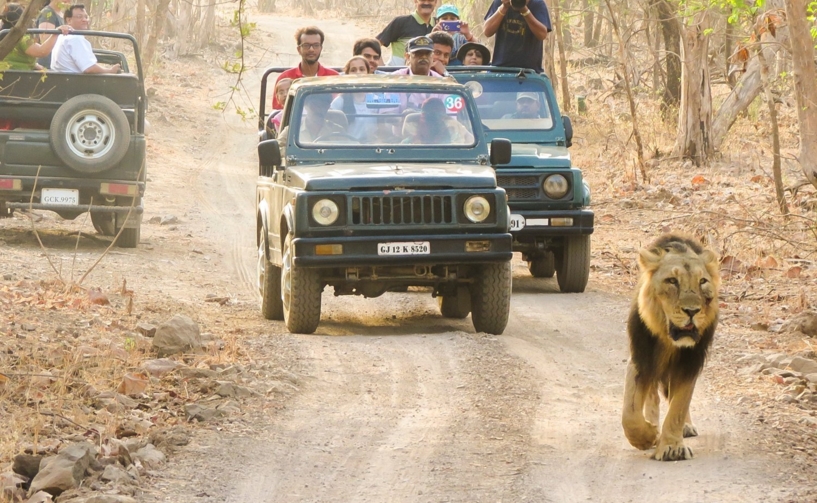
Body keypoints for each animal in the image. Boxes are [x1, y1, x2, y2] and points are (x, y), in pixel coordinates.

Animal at [620, 232, 716, 460]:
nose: (692, 311)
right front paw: (647, 436)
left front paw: (673, 447)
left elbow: (679, 406)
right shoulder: (640, 359)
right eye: (672, 281)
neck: (669, 339)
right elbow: (630, 413)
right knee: (652, 397)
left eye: (702, 281)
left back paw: (685, 428)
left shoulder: (690, 363)